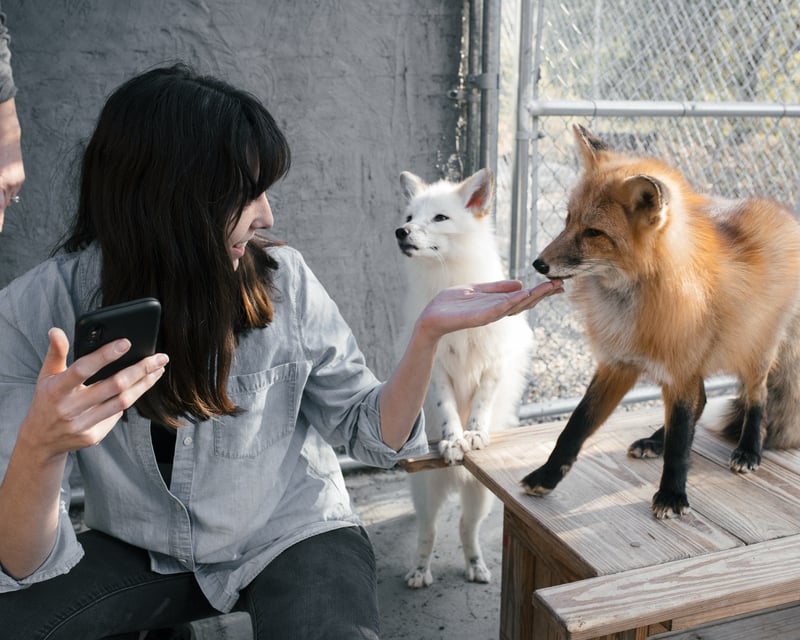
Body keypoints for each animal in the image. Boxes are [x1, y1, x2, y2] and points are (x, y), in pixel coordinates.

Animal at [521, 124, 800, 518]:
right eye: (567, 220)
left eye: (594, 232)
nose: (539, 264)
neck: (634, 300)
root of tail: (782, 210)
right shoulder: (618, 364)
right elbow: (575, 426)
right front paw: (546, 476)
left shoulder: (679, 369)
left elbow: (681, 444)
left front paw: (671, 495)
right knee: (702, 400)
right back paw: (655, 440)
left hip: (754, 352)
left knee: (755, 398)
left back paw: (749, 449)